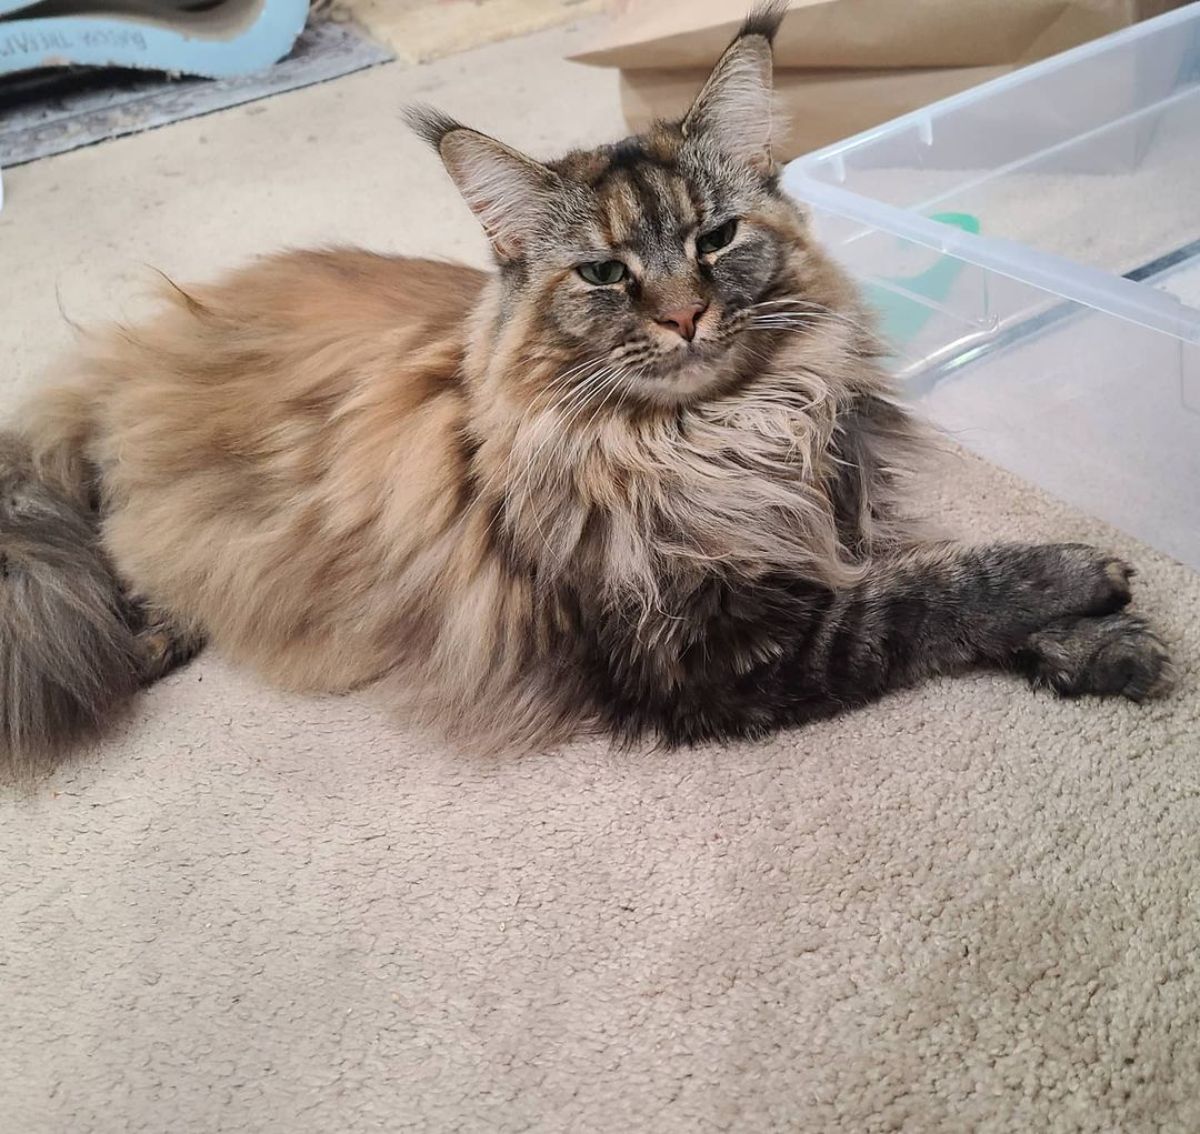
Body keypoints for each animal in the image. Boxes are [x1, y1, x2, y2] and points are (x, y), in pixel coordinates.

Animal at [0, 0, 1171, 772]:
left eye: (715, 238)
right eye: (605, 274)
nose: (684, 316)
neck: (725, 431)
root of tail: (133, 349)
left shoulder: (835, 521)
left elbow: (921, 571)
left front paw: (1106, 644)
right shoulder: (712, 648)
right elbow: (930, 599)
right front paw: (1083, 577)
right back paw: (146, 638)